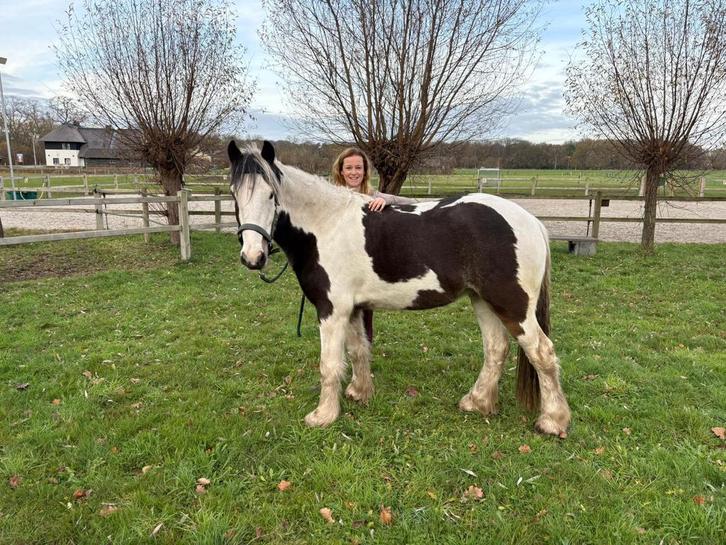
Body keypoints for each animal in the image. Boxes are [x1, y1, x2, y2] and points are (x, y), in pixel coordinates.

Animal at [228, 140, 571, 437]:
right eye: (234, 194)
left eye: (271, 195)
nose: (253, 257)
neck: (326, 225)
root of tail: (530, 221)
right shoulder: (353, 308)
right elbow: (358, 350)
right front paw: (359, 393)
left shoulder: (331, 311)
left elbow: (329, 364)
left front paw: (323, 416)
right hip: (483, 300)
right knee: (496, 348)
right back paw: (477, 402)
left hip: (512, 305)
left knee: (542, 352)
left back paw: (553, 421)